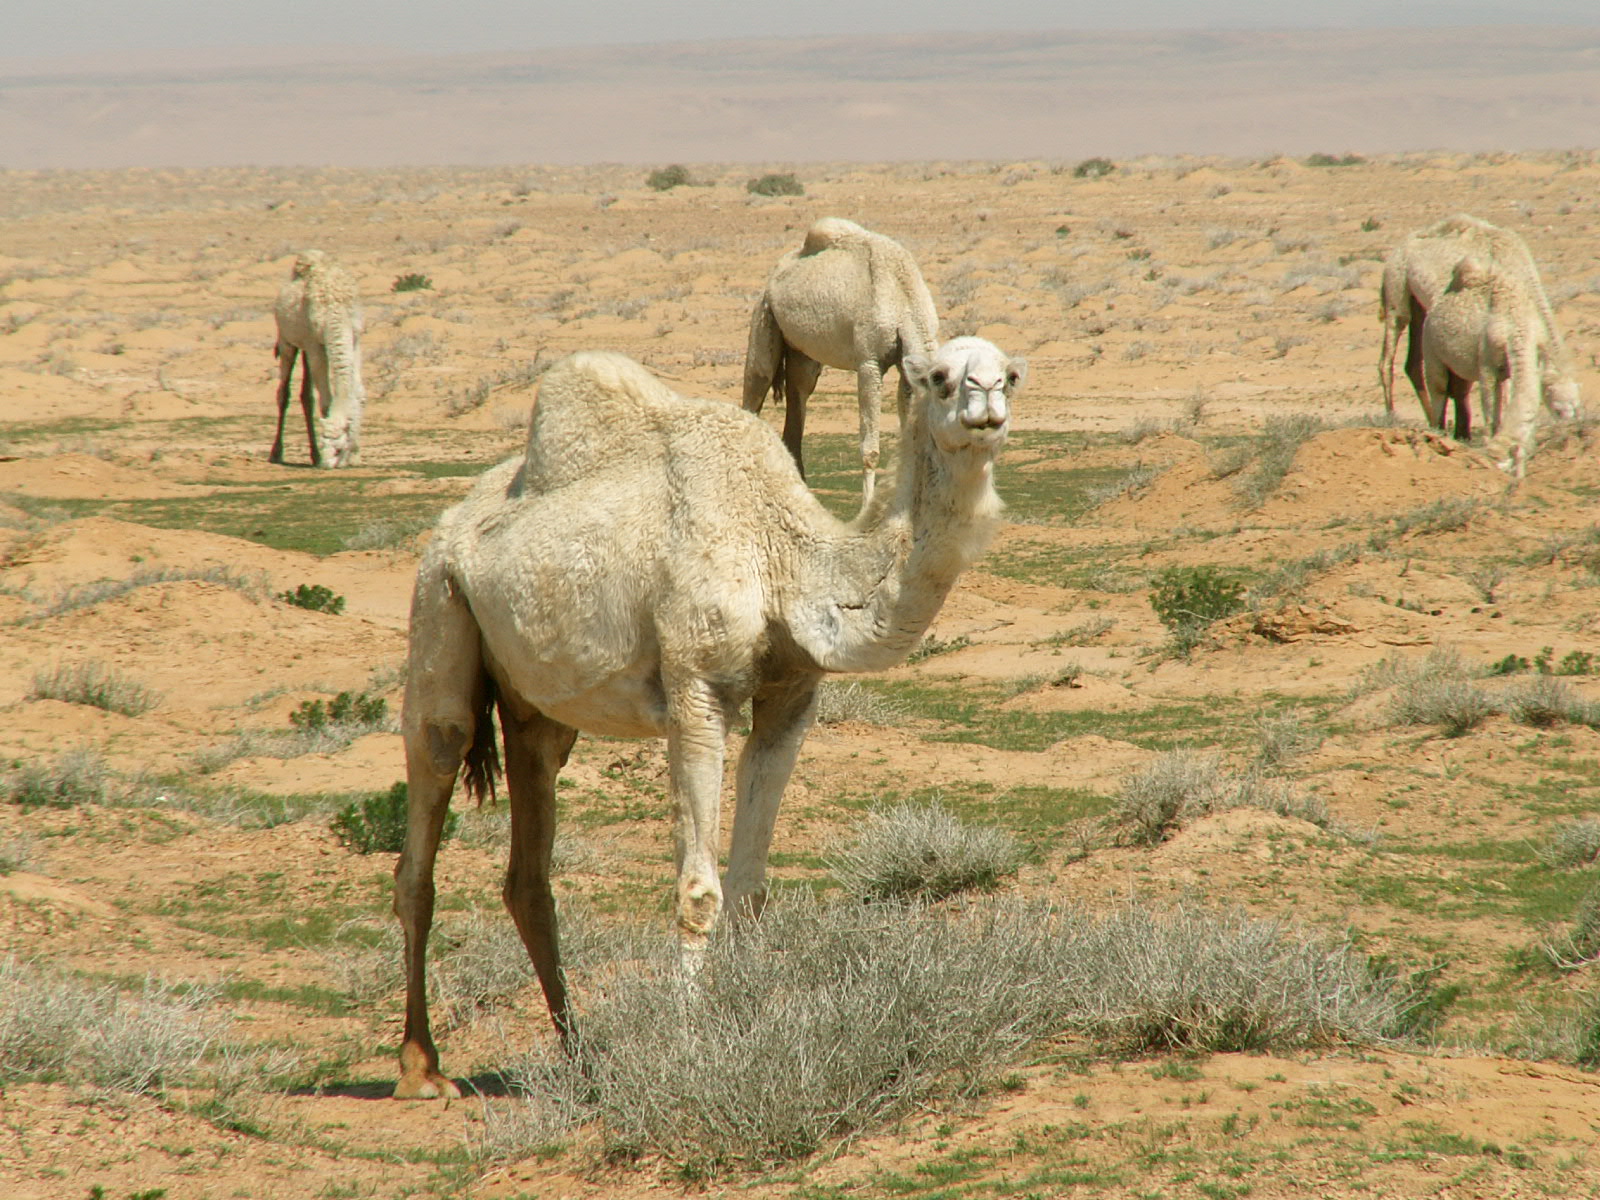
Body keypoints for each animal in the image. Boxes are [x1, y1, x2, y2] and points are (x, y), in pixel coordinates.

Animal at [269, 249, 365, 468]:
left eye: (339, 449)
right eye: (325, 444)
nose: (327, 465)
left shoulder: (354, 338)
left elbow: (358, 393)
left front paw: (355, 454)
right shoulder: (315, 345)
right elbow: (326, 399)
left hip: (305, 348)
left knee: (306, 395)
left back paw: (312, 456)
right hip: (287, 341)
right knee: (284, 392)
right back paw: (277, 454)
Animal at [392, 337, 1024, 1099]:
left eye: (1011, 372)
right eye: (937, 377)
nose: (987, 396)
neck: (782, 556)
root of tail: (451, 523)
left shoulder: (791, 697)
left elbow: (750, 886)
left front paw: (752, 1024)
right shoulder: (696, 687)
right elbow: (699, 890)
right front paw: (688, 1043)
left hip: (535, 709)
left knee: (529, 868)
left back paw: (581, 1059)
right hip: (439, 604)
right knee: (428, 803)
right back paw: (421, 1067)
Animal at [742, 217, 940, 506]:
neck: (902, 298)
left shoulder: (906, 368)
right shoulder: (869, 363)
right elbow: (870, 449)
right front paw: (867, 506)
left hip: (803, 354)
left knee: (797, 399)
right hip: (765, 319)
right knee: (756, 388)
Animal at [1378, 214, 1577, 438]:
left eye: (1576, 406)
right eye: (1557, 407)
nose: (1568, 425)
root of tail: (1398, 249)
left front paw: (1464, 432)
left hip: (1419, 307)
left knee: (1413, 363)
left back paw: (1432, 422)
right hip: (1396, 291)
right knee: (1389, 353)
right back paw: (1393, 417)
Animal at [1421, 256, 1580, 478]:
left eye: (1575, 406)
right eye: (1557, 410)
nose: (1569, 424)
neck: (1518, 325)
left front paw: (1521, 474)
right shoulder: (1487, 364)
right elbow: (1490, 411)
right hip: (1430, 349)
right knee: (1438, 392)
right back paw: (1438, 433)